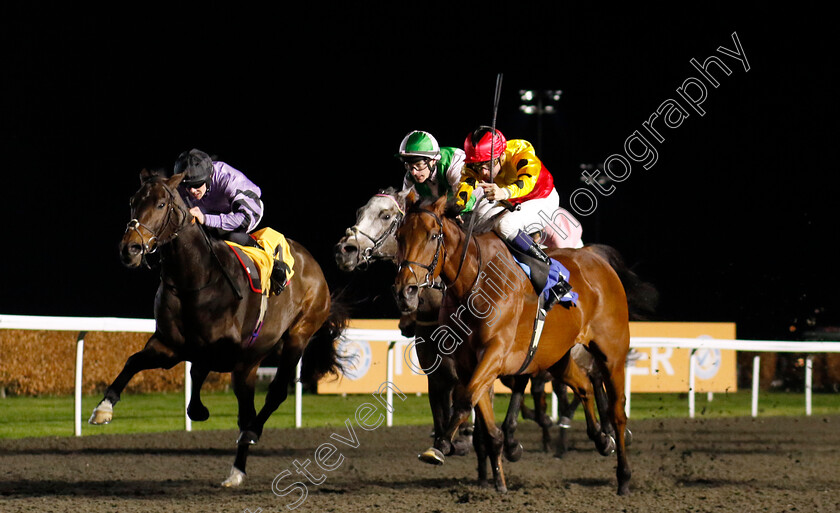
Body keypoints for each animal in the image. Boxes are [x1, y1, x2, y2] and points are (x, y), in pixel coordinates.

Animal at [93, 170, 350, 486]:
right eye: (133, 201)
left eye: (162, 204)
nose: (130, 249)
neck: (196, 280)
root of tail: (313, 264)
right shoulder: (170, 345)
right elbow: (135, 362)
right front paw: (103, 408)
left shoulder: (226, 353)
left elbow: (205, 376)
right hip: (254, 359)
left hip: (297, 336)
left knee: (271, 396)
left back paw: (246, 446)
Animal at [394, 194, 632, 494]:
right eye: (399, 235)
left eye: (433, 235)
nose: (406, 292)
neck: (475, 281)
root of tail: (595, 257)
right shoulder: (469, 365)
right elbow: (481, 413)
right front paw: (498, 480)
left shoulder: (495, 354)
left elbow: (464, 400)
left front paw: (442, 445)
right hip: (557, 356)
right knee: (584, 386)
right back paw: (601, 440)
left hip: (611, 354)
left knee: (617, 411)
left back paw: (623, 476)